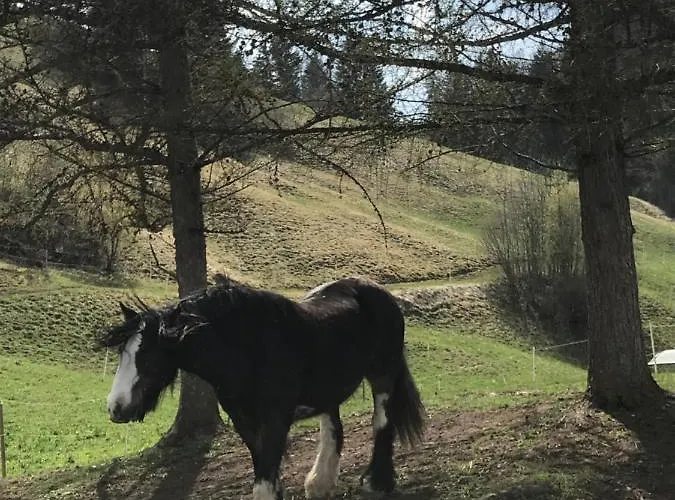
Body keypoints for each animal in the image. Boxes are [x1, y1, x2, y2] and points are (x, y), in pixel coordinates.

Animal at [98, 275, 425, 500]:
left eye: (149, 357)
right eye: (122, 354)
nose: (116, 408)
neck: (246, 348)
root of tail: (378, 292)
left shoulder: (275, 419)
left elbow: (266, 475)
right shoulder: (244, 421)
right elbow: (263, 470)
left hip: (383, 374)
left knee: (382, 421)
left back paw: (377, 482)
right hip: (327, 388)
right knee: (333, 428)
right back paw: (319, 484)